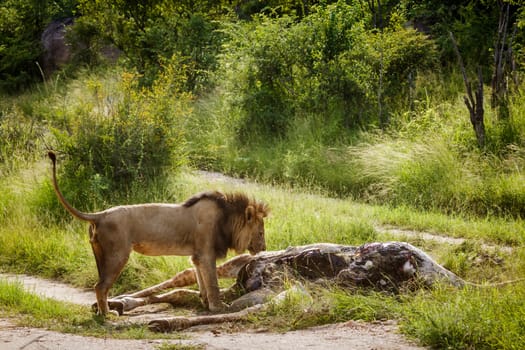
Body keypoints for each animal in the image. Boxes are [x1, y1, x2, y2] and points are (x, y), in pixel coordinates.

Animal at [47, 150, 268, 314]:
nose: (265, 248)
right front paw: (218, 307)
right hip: (118, 254)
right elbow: (212, 282)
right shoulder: (206, 253)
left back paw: (105, 312)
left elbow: (202, 281)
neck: (227, 219)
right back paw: (107, 316)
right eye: (261, 233)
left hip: (100, 255)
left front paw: (206, 303)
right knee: (100, 286)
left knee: (100, 285)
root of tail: (100, 215)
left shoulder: (197, 256)